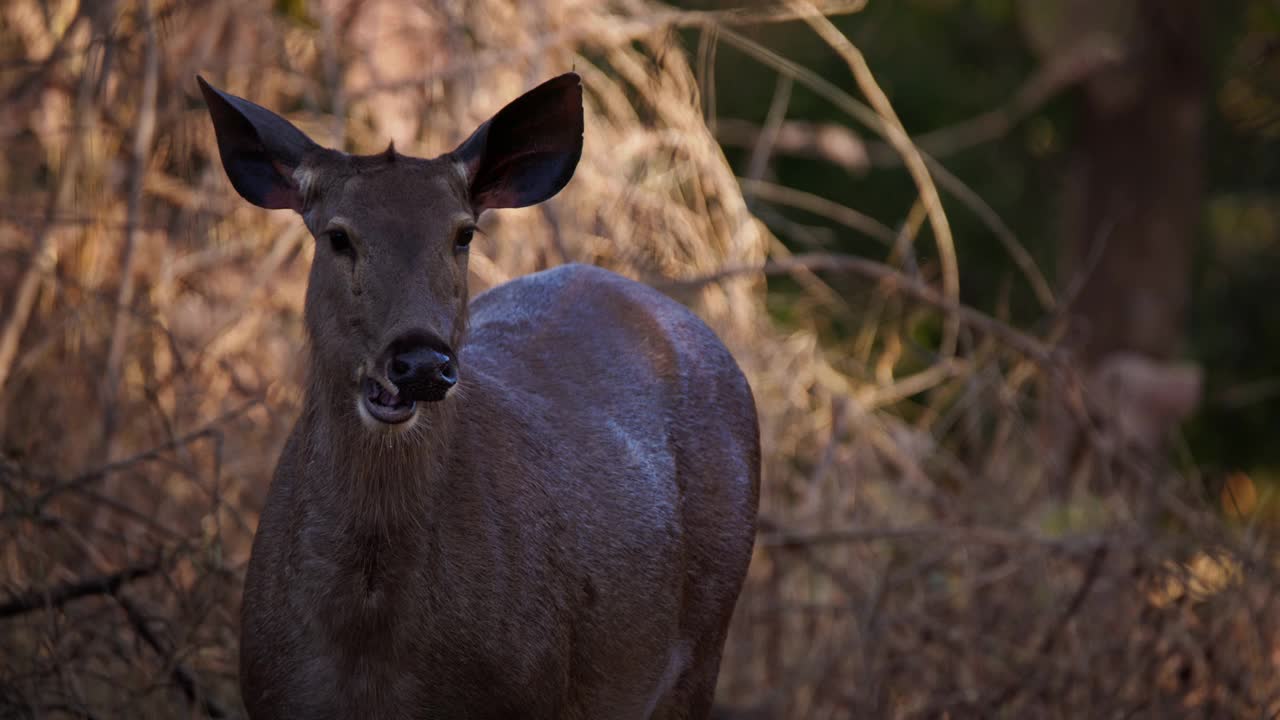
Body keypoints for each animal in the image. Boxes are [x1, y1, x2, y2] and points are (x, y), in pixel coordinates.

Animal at [197, 71, 757, 712]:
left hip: (705, 641)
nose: (420, 362)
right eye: (338, 236)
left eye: (463, 233)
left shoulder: (527, 693)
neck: (367, 643)